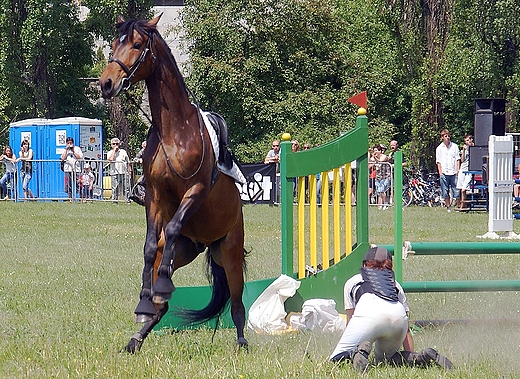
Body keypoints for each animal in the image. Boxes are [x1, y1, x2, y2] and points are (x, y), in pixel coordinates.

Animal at [100, 14, 250, 354]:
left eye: (137, 44)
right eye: (114, 42)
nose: (106, 83)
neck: (174, 131)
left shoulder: (194, 192)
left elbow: (171, 227)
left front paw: (163, 285)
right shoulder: (155, 197)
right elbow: (149, 245)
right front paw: (146, 299)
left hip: (230, 252)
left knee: (237, 303)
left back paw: (242, 343)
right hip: (185, 249)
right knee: (162, 297)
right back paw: (138, 334)